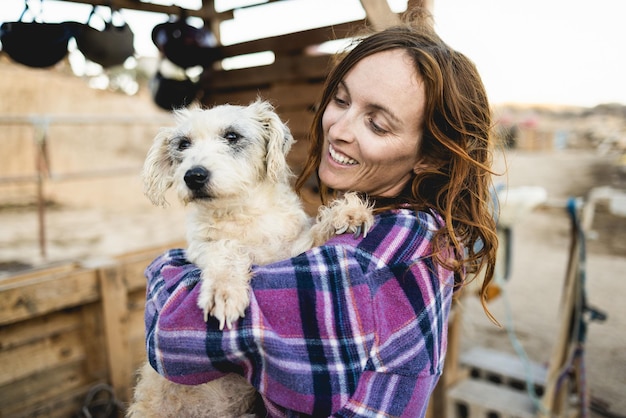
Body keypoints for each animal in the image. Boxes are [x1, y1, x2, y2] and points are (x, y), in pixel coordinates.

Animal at [127, 100, 370, 418]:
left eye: (232, 136)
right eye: (183, 144)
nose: (193, 176)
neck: (242, 212)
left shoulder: (288, 252)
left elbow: (310, 237)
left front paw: (346, 213)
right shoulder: (203, 250)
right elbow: (225, 249)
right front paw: (224, 290)